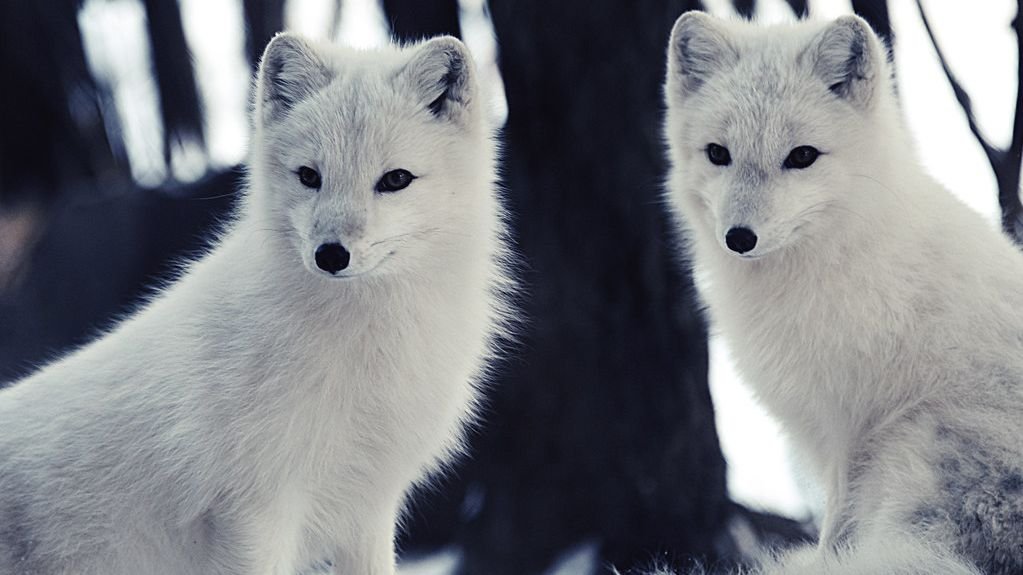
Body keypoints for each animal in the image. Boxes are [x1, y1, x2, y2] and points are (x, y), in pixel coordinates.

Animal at [0, 33, 511, 575]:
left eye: (395, 180)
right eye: (309, 176)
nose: (330, 255)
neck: (364, 348)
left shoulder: (368, 508)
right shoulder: (256, 509)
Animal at [663, 11, 1023, 575]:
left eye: (802, 157)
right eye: (718, 153)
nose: (739, 238)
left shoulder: (850, 423)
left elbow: (836, 524)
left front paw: (825, 558)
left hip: (911, 444)